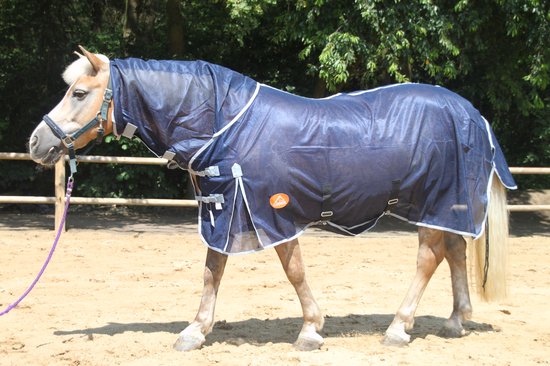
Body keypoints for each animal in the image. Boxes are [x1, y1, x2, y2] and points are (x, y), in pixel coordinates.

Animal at [27, 47, 516, 350]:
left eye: (79, 93)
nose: (35, 143)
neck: (226, 123)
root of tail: (473, 114)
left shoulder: (270, 212)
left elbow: (293, 271)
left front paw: (311, 331)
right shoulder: (223, 211)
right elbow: (212, 272)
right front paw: (194, 331)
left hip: (434, 200)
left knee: (429, 258)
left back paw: (399, 327)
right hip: (444, 205)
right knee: (455, 250)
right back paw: (455, 320)